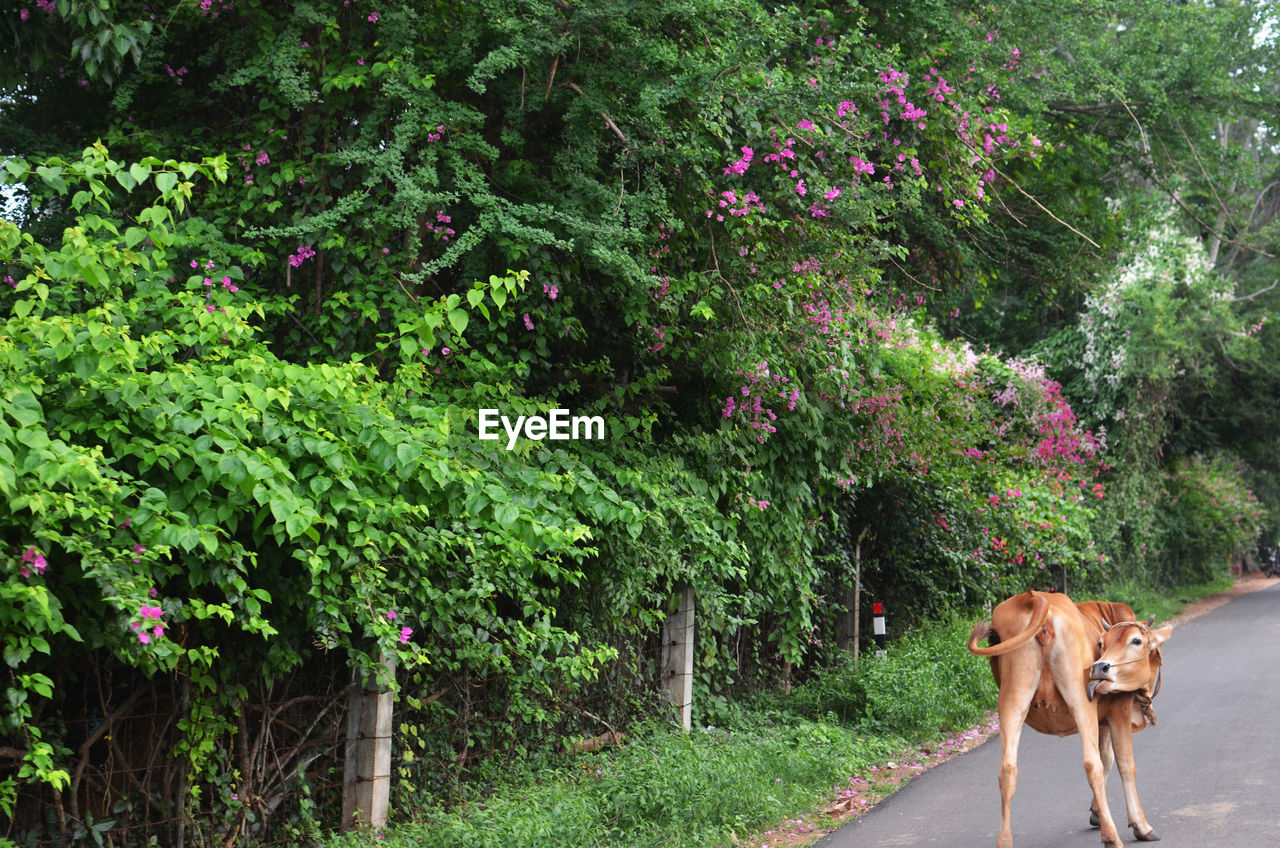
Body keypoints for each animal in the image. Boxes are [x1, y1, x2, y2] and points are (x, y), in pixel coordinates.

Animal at [967, 591, 1172, 848]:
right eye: (1102, 643)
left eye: (1136, 641)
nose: (1100, 667)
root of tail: (1036, 597)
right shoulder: (1119, 711)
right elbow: (1124, 765)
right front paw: (1141, 825)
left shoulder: (1103, 720)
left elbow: (1108, 759)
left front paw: (1097, 812)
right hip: (1080, 698)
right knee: (1091, 763)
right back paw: (1111, 836)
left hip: (1012, 697)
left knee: (1007, 769)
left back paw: (1004, 841)